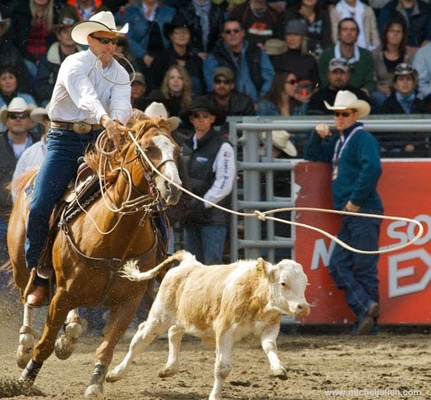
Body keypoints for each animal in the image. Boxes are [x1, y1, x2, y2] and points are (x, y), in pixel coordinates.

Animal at [7, 114, 182, 398]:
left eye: (176, 150)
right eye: (148, 148)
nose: (173, 188)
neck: (114, 237)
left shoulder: (129, 301)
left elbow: (107, 347)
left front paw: (95, 383)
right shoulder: (61, 295)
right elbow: (45, 344)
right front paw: (24, 380)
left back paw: (70, 334)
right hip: (20, 264)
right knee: (28, 296)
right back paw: (25, 344)